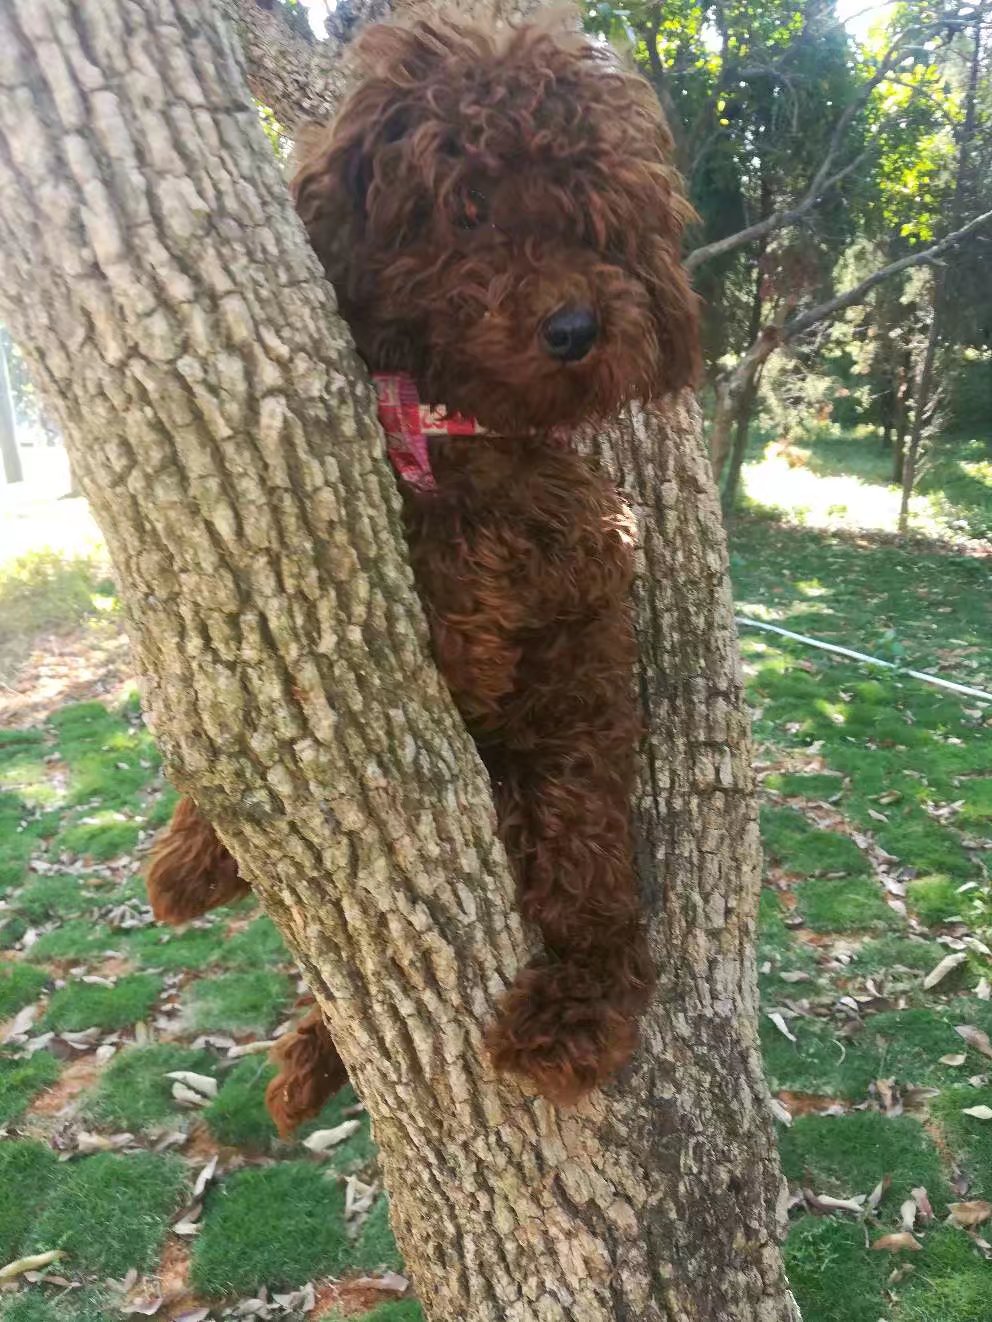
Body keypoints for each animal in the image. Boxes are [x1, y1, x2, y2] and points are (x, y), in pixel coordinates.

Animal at [151, 18, 703, 1126]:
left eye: (595, 223)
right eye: (467, 208)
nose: (576, 328)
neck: (447, 425)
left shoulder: (540, 557)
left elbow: (465, 596)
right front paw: (193, 851)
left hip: (569, 768)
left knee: (595, 908)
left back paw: (568, 1019)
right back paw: (310, 1059)